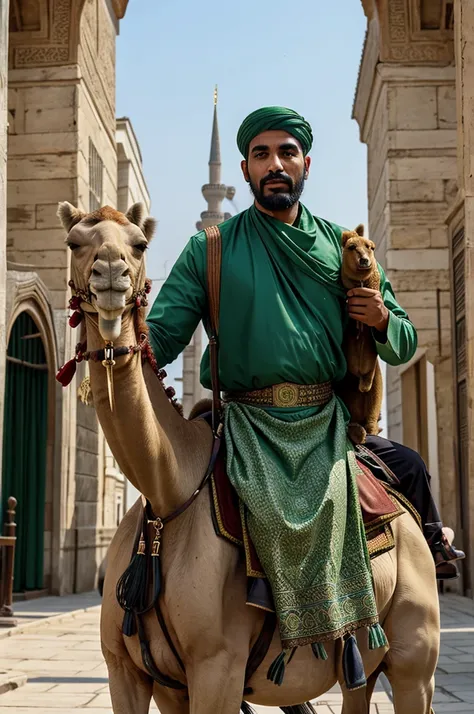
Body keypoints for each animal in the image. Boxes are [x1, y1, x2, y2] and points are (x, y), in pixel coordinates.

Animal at [57, 200, 438, 712]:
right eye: (75, 243)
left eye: (138, 244)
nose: (111, 276)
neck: (169, 494)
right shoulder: (132, 674)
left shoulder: (218, 670)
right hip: (366, 664)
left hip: (416, 655)